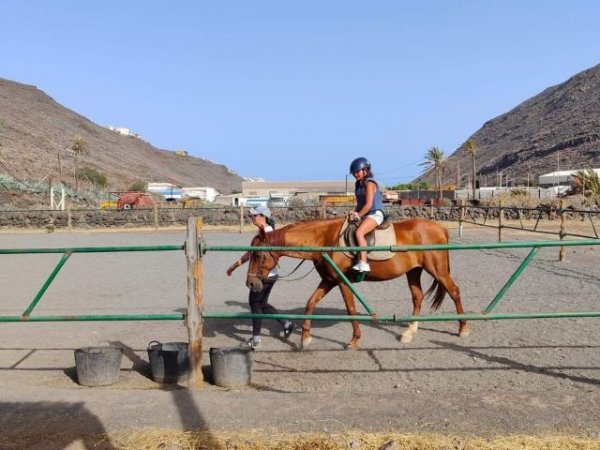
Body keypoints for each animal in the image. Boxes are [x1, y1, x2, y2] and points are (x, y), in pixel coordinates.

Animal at [246, 216, 472, 350]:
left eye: (258, 256)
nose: (251, 284)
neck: (325, 239)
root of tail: (439, 228)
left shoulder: (342, 282)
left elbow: (351, 309)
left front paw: (354, 340)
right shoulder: (329, 281)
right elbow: (310, 303)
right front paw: (305, 338)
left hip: (438, 271)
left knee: (454, 291)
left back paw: (463, 328)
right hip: (414, 271)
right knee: (418, 297)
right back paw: (409, 332)